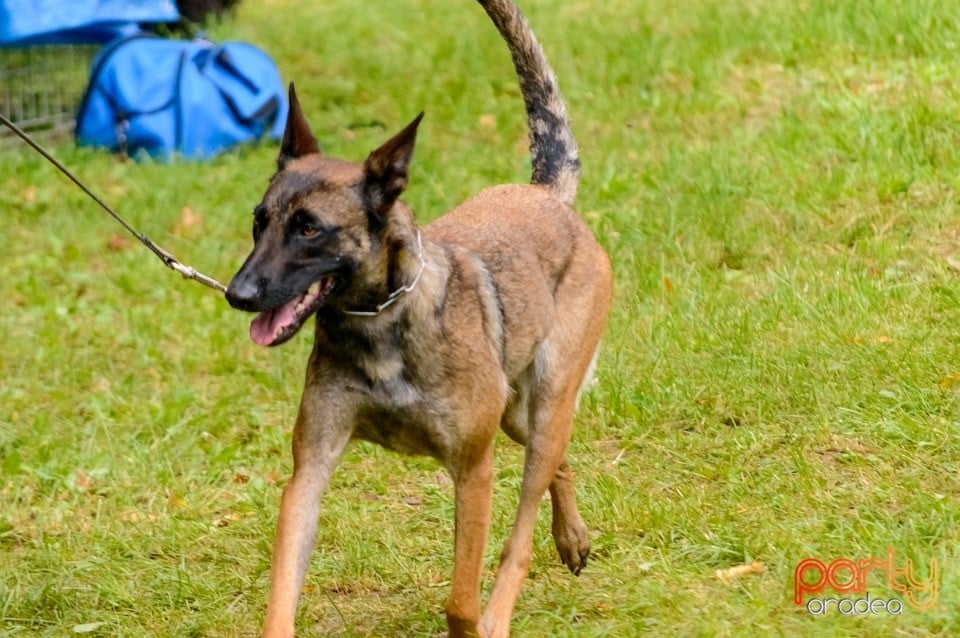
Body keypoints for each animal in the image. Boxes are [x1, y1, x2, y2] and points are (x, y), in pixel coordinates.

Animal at [226, 2, 612, 636]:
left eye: (309, 228)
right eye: (260, 221)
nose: (238, 294)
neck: (380, 320)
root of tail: (546, 195)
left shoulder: (473, 471)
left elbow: (461, 600)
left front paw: (474, 622)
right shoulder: (309, 473)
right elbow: (282, 594)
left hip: (548, 401)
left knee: (521, 534)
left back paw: (507, 606)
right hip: (518, 415)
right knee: (558, 462)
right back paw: (572, 536)